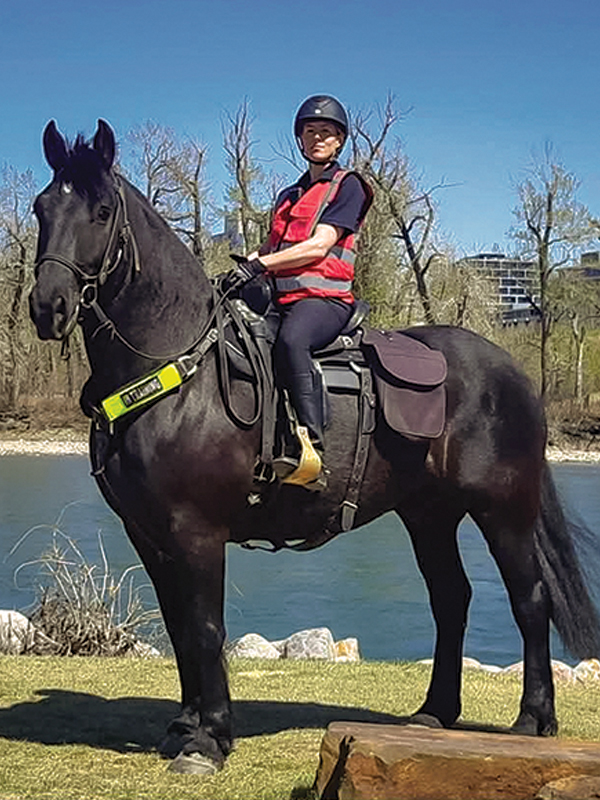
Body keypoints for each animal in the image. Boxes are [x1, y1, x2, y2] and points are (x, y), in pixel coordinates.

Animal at [29, 119, 600, 775]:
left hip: (503, 510)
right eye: (42, 207)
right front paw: (184, 727)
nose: (47, 306)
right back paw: (434, 713)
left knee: (530, 601)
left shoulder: (195, 531)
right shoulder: (147, 533)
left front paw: (209, 739)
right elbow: (178, 630)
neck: (180, 366)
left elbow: (204, 629)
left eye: (101, 211)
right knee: (451, 599)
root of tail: (510, 369)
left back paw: (534, 718)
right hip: (428, 514)